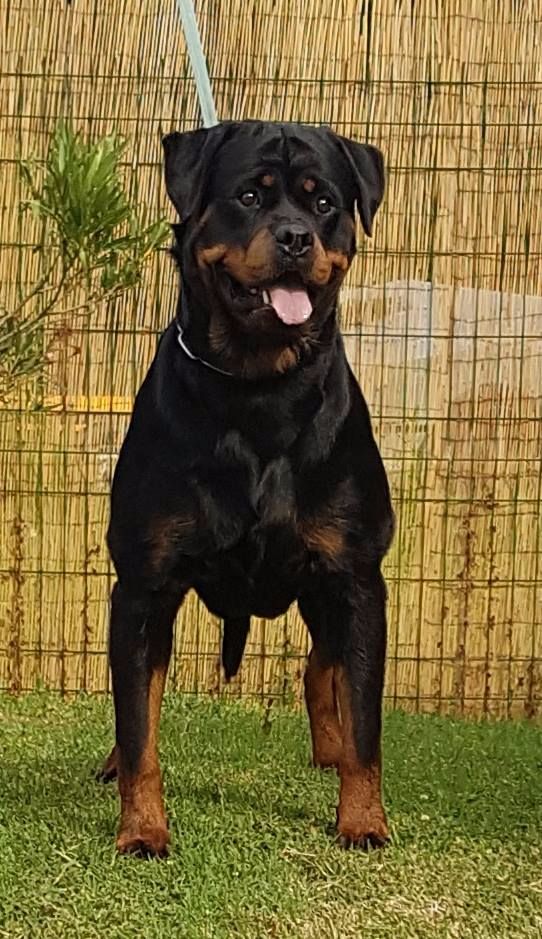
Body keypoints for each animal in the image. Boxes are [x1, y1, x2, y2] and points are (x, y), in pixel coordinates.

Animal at [98, 120, 394, 856]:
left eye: (324, 203)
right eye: (249, 196)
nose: (295, 237)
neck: (260, 390)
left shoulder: (355, 577)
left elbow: (366, 717)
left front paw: (362, 819)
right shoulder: (144, 584)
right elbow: (138, 719)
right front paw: (142, 828)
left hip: (324, 593)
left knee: (321, 666)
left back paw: (330, 753)